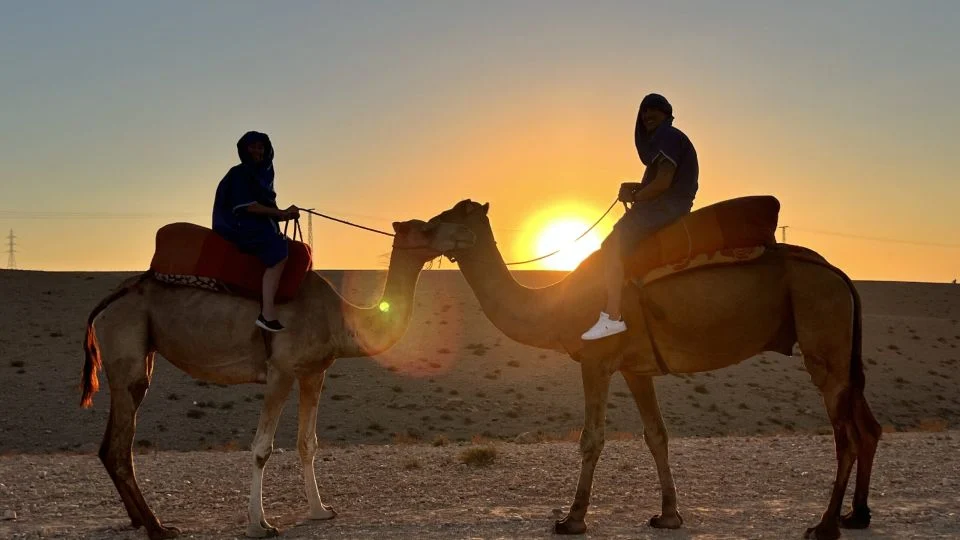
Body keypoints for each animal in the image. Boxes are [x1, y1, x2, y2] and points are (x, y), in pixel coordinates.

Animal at [78, 219, 475, 540]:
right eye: (427, 226)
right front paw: (260, 525)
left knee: (110, 444)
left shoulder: (314, 371)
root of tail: (111, 300)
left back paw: (139, 521)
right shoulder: (280, 370)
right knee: (121, 445)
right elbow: (262, 448)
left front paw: (320, 511)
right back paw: (158, 527)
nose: (462, 236)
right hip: (127, 342)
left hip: (139, 353)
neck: (338, 320)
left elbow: (307, 443)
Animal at [424, 199, 882, 540]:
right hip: (842, 348)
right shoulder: (635, 369)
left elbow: (592, 438)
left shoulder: (596, 360)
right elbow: (656, 435)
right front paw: (668, 515)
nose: (421, 227)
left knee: (845, 435)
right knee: (867, 426)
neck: (557, 306)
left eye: (454, 215)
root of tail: (838, 274)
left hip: (822, 329)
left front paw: (572, 520)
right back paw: (856, 516)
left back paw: (824, 525)